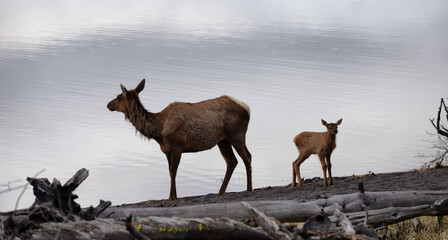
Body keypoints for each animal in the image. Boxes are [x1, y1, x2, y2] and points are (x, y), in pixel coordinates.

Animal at [105, 79, 252, 201]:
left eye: (118, 97)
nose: (108, 104)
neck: (159, 132)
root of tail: (247, 108)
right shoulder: (166, 150)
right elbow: (170, 172)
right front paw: (174, 196)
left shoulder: (177, 146)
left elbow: (173, 171)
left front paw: (171, 197)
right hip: (223, 141)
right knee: (232, 161)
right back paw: (220, 192)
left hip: (237, 135)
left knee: (247, 157)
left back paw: (249, 189)